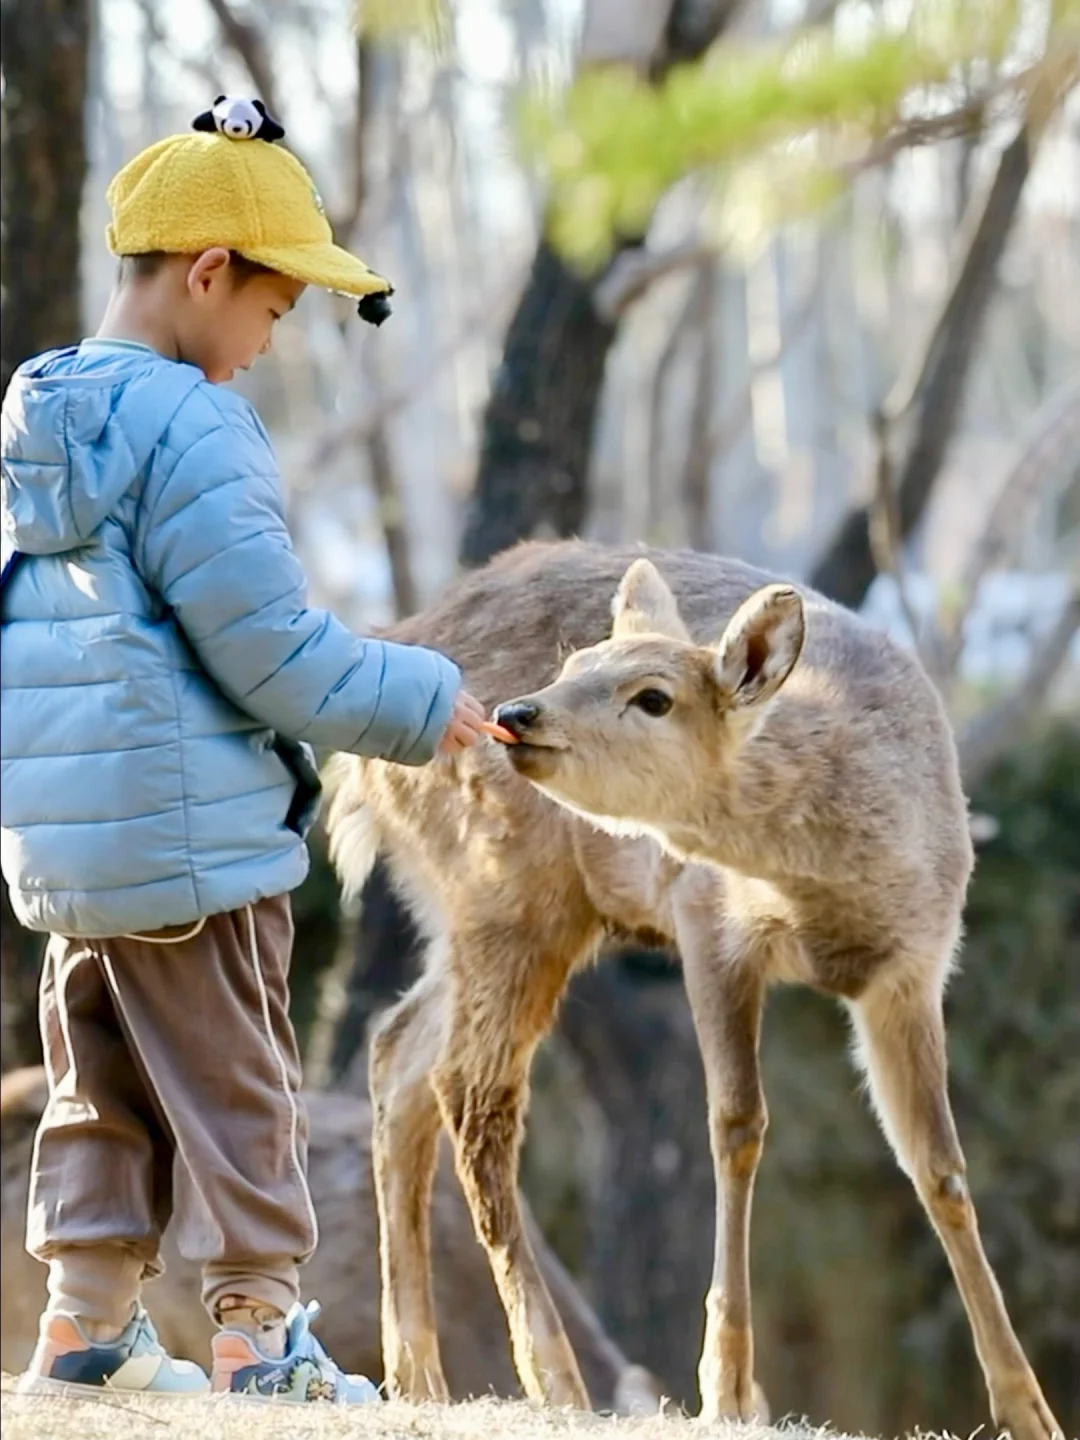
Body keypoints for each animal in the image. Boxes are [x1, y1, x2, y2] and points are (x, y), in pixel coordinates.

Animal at [324, 541, 1065, 1440]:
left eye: (652, 696)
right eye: (575, 662)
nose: (519, 711)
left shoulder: (914, 967)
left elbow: (941, 1168)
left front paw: (1028, 1406)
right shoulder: (707, 916)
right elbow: (736, 1126)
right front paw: (728, 1387)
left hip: (479, 909)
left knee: (397, 1050)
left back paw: (419, 1377)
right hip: (504, 884)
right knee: (471, 1093)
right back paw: (554, 1379)